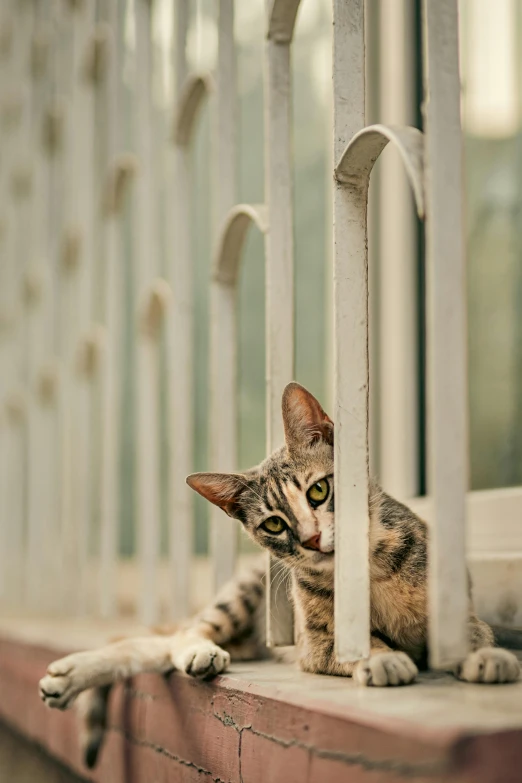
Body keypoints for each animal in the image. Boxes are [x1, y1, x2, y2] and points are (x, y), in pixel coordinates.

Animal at [38, 382, 516, 768]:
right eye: (273, 524)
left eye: (319, 490)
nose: (310, 539)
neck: (368, 573)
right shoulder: (315, 643)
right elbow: (354, 645)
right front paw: (380, 657)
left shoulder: (454, 604)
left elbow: (472, 633)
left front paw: (485, 656)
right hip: (244, 593)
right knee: (175, 638)